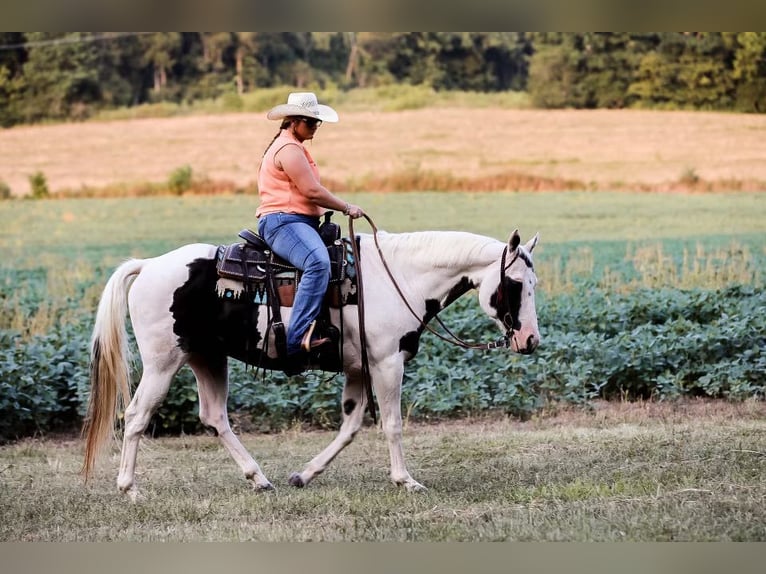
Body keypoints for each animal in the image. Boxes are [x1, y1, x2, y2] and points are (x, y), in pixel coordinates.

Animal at [82, 225, 540, 496]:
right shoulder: (388, 363)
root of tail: (148, 267)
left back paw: (260, 479)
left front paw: (303, 475)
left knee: (214, 417)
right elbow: (392, 424)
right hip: (163, 363)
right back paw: (129, 487)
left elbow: (351, 426)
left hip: (206, 358)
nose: (531, 340)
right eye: (516, 284)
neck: (400, 277)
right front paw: (406, 480)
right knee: (137, 416)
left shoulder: (359, 368)